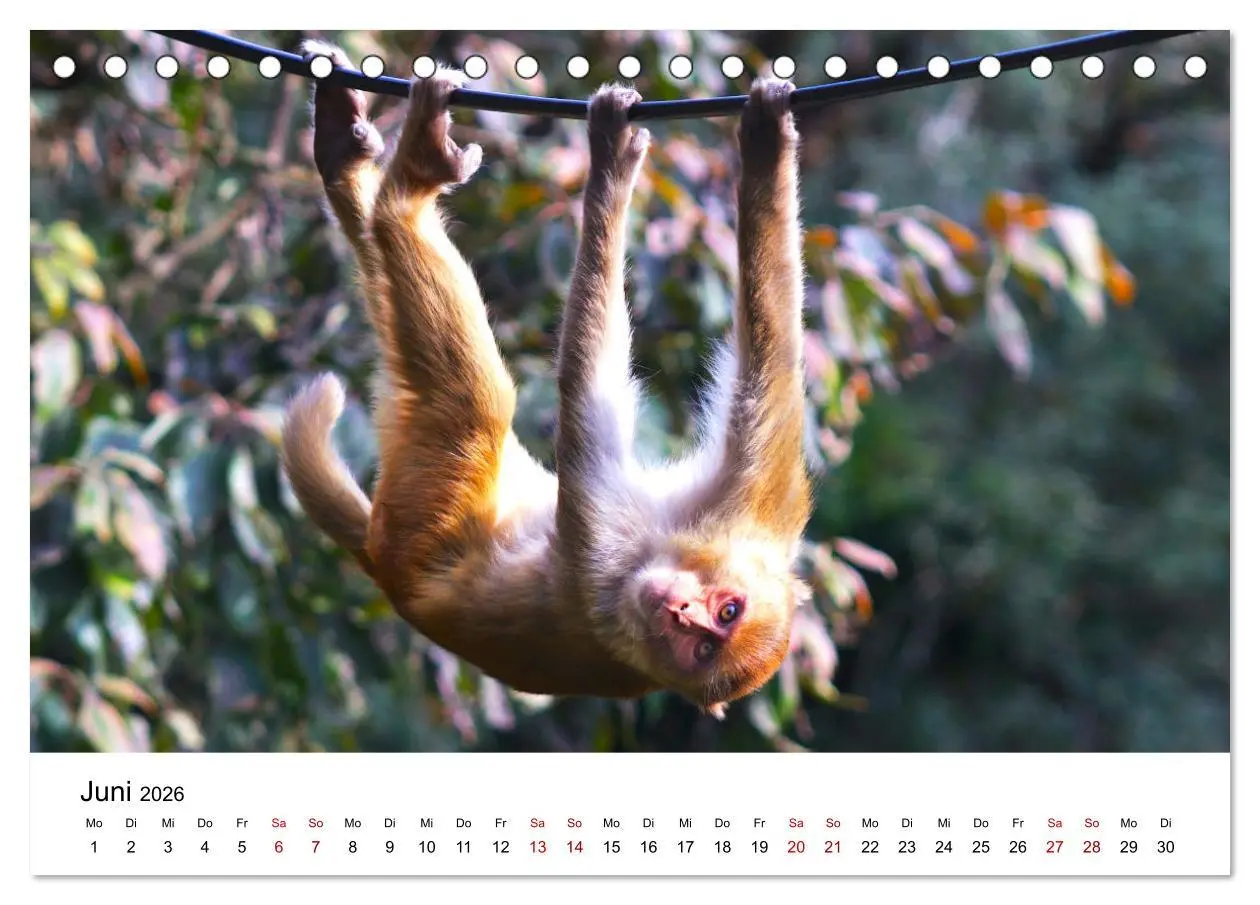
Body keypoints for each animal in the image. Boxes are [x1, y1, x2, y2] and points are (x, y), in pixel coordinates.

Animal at [282, 43, 812, 717]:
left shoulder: (605, 572)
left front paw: (611, 161)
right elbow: (771, 361)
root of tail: (379, 567)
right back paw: (345, 155)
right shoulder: (756, 508)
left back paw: (410, 185)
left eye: (704, 644)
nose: (681, 611)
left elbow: (586, 405)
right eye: (726, 611)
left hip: (415, 513)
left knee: (473, 400)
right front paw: (769, 145)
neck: (653, 555)